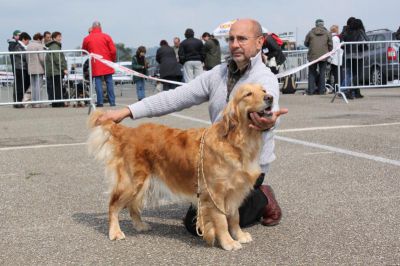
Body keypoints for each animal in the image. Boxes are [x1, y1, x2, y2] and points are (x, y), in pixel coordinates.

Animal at [87, 83, 274, 251]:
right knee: (113, 205)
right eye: (248, 94)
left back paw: (140, 225)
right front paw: (228, 242)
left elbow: (235, 216)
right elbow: (221, 220)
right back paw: (115, 232)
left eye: (264, 90)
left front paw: (239, 235)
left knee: (132, 205)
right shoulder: (215, 193)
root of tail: (128, 131)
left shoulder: (235, 190)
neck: (236, 140)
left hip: (142, 182)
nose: (270, 97)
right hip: (132, 182)